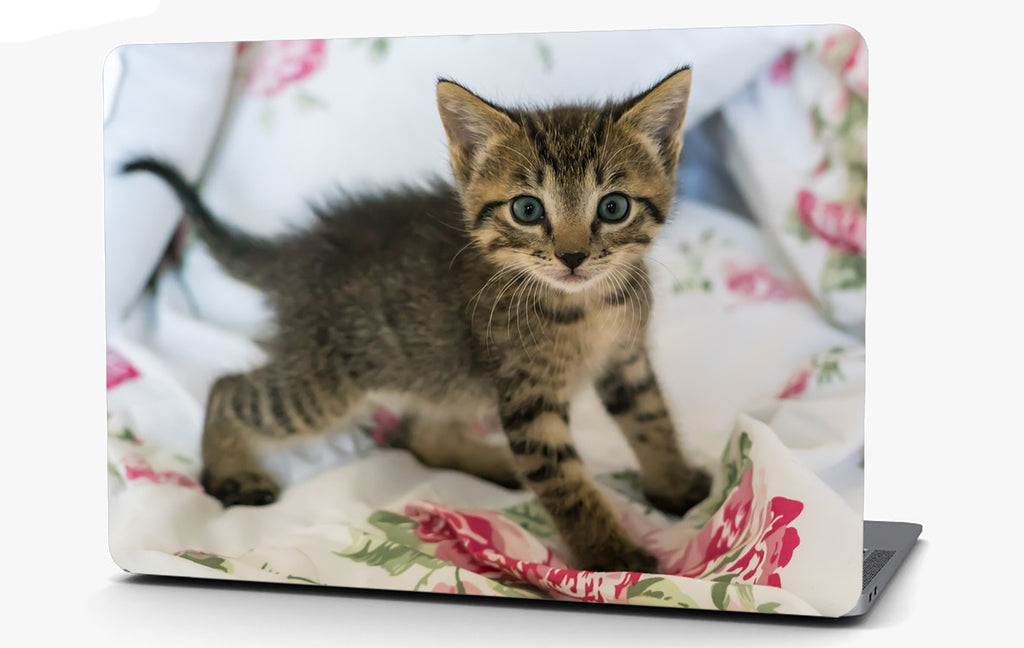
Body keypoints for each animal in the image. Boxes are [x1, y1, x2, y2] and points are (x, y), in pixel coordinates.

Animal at [122, 66, 710, 573]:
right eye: (527, 209)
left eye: (613, 208)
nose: (572, 256)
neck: (587, 305)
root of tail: (302, 250)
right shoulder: (528, 397)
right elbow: (566, 482)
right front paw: (613, 556)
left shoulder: (626, 360)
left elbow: (652, 419)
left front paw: (675, 485)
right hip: (327, 382)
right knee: (229, 389)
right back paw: (230, 473)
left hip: (440, 371)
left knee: (420, 431)